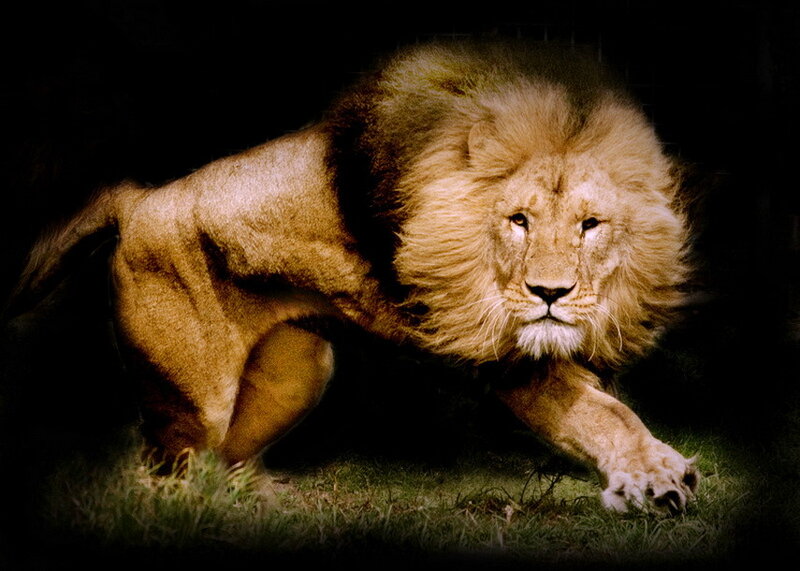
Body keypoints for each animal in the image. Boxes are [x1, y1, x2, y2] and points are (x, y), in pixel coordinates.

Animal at [11, 42, 698, 513]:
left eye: (591, 225)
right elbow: (601, 414)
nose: (550, 294)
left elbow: (611, 405)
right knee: (161, 476)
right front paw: (656, 477)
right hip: (193, 402)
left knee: (222, 463)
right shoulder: (497, 349)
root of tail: (137, 199)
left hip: (298, 372)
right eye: (518, 221)